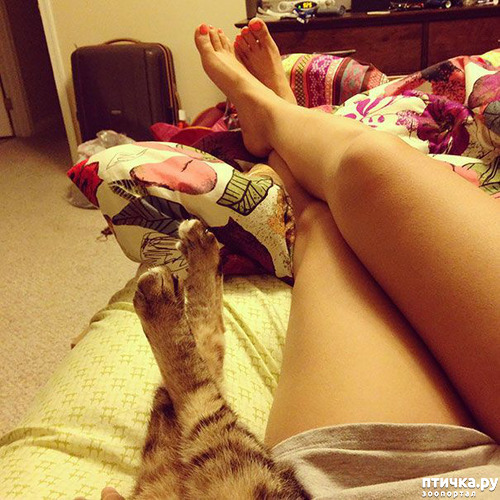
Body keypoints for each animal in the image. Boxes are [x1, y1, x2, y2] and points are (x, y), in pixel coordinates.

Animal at [132, 219, 310, 499]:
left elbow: (198, 360)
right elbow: (206, 340)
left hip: (235, 470)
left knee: (198, 393)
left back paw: (163, 297)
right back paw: (199, 252)